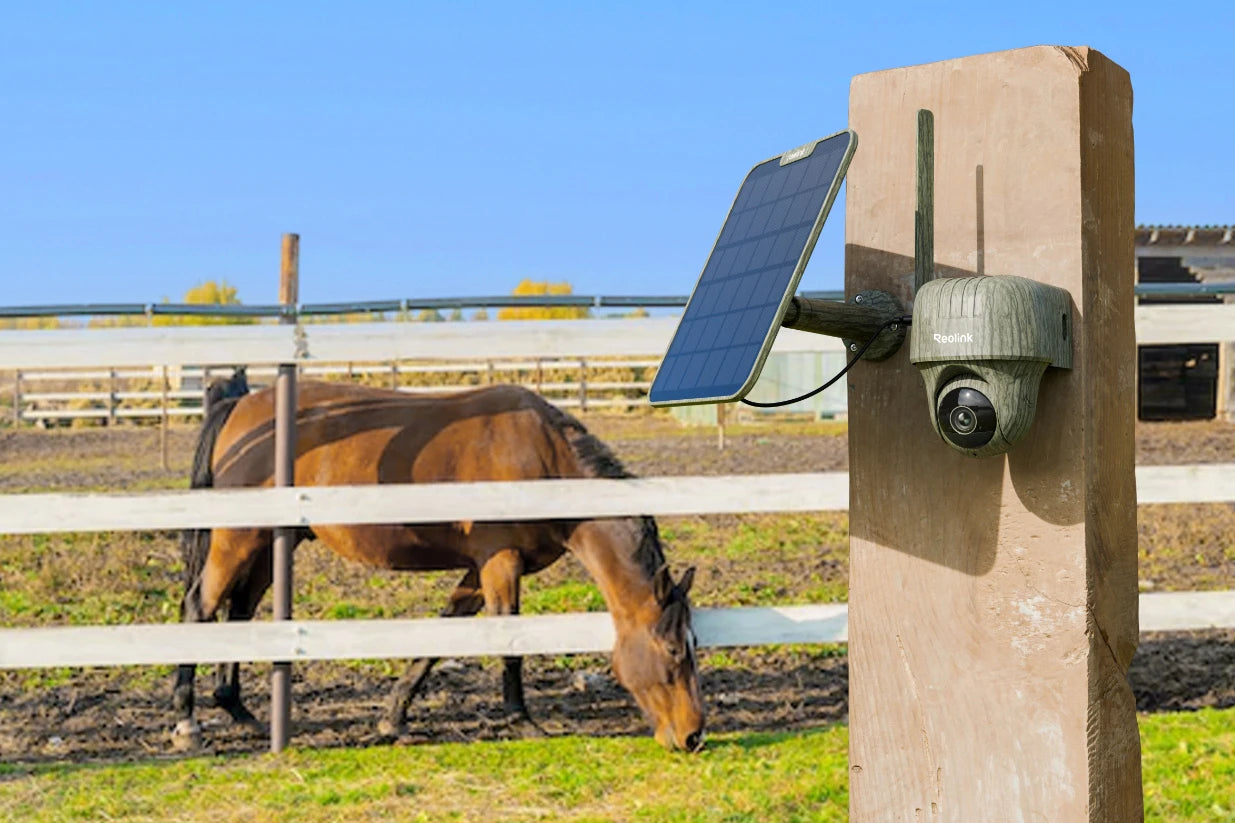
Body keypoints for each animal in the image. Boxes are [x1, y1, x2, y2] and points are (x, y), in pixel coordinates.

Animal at [172, 379, 705, 752]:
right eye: (673, 650)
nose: (693, 736)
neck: (544, 457)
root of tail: (240, 407)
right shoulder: (500, 564)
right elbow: (509, 639)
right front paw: (523, 720)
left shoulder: (479, 569)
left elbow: (440, 636)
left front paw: (393, 718)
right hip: (238, 540)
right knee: (200, 607)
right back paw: (186, 720)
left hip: (268, 544)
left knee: (239, 611)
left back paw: (237, 709)